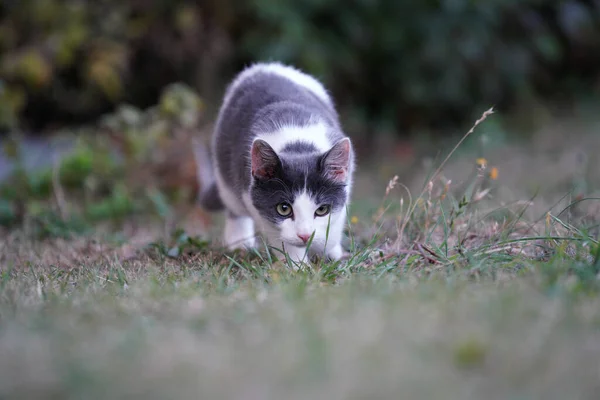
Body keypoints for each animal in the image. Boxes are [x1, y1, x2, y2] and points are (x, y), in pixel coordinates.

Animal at [197, 61, 354, 262]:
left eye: (322, 210)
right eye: (284, 209)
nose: (304, 235)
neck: (297, 143)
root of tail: (265, 66)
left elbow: (336, 220)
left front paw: (329, 250)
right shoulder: (253, 197)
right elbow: (278, 234)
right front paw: (297, 263)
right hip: (224, 169)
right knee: (234, 208)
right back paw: (240, 245)